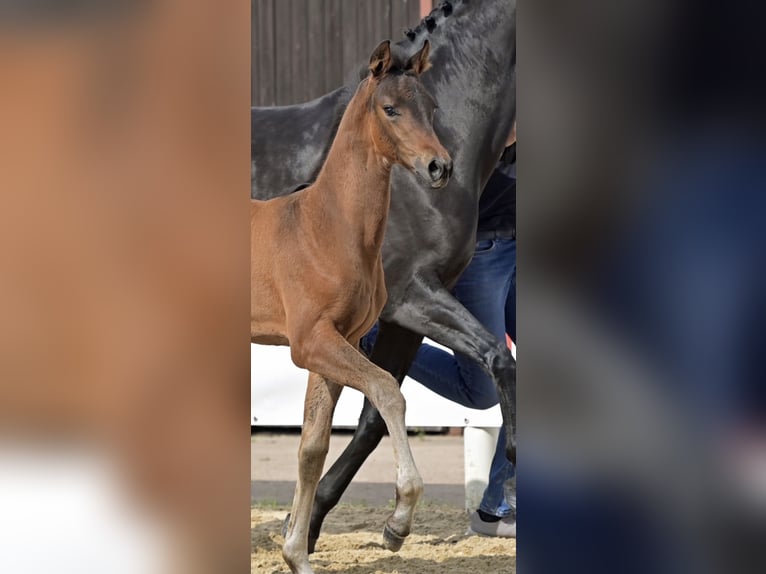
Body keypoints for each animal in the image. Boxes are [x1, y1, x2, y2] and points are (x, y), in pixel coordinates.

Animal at [252, 40, 452, 574]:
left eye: (433, 108)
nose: (440, 167)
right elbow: (388, 392)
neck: (326, 227)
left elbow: (312, 448)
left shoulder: (334, 344)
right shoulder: (311, 342)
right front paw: (399, 521)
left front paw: (296, 555)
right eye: (390, 109)